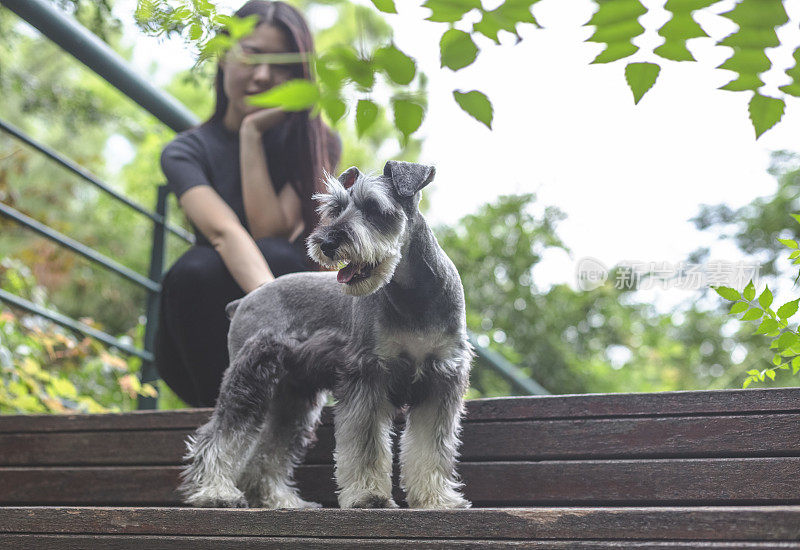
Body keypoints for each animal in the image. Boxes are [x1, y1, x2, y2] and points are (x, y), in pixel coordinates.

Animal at [178, 162, 472, 512]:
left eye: (373, 208)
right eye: (334, 209)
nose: (327, 243)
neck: (413, 297)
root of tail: (243, 301)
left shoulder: (442, 379)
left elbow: (432, 448)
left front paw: (435, 498)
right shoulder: (366, 375)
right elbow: (366, 447)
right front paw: (369, 496)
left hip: (293, 398)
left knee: (269, 448)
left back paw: (278, 499)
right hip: (248, 379)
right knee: (219, 435)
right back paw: (216, 492)